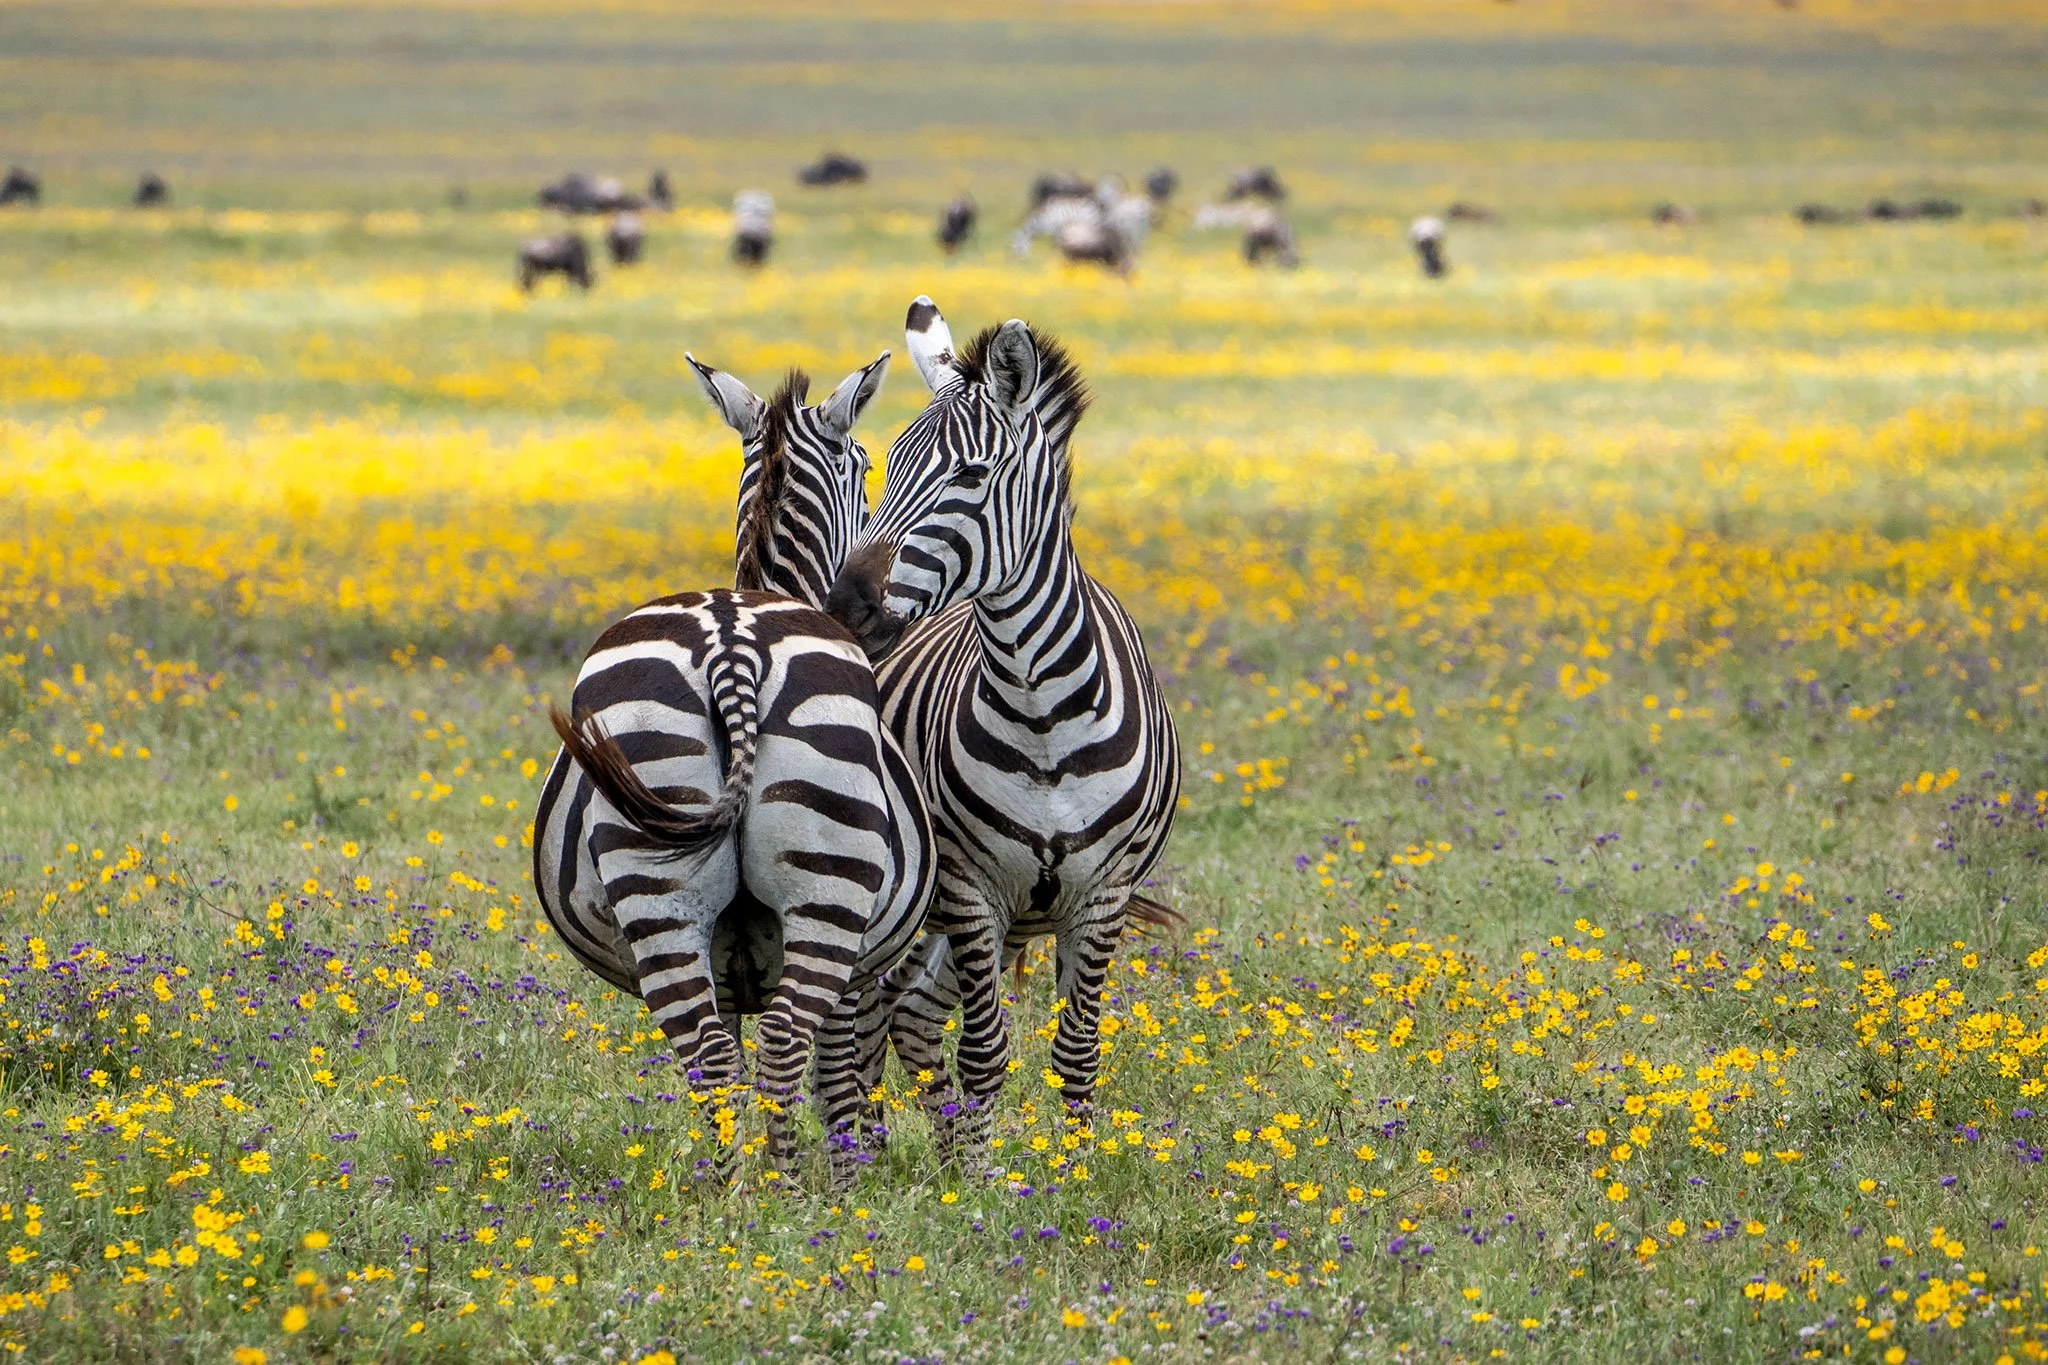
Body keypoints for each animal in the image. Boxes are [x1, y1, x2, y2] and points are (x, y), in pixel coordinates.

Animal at [532, 352, 935, 1187]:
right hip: (828, 894)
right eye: (869, 467)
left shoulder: (726, 966)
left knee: (711, 1061)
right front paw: (846, 1178)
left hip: (656, 886)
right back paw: (791, 1197)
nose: (871, 609)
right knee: (782, 1049)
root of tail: (731, 642)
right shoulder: (853, 965)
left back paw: (730, 1196)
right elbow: (837, 1081)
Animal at [825, 297, 1182, 1166]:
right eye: (888, 467)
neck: (1041, 709)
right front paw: (981, 1185)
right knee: (869, 1016)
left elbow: (1077, 1051)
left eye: (970, 476)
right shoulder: (968, 886)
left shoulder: (1101, 892)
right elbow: (985, 1050)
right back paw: (877, 1149)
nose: (846, 605)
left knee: (905, 1013)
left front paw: (1073, 1175)